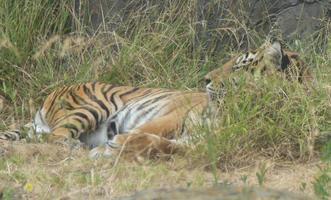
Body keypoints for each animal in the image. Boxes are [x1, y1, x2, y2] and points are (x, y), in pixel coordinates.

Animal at [0, 41, 312, 159]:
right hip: (92, 106)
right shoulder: (176, 115)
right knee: (56, 137)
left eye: (238, 67)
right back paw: (75, 148)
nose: (206, 79)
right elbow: (150, 130)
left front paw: (113, 147)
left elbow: (163, 145)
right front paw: (111, 146)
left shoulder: (202, 142)